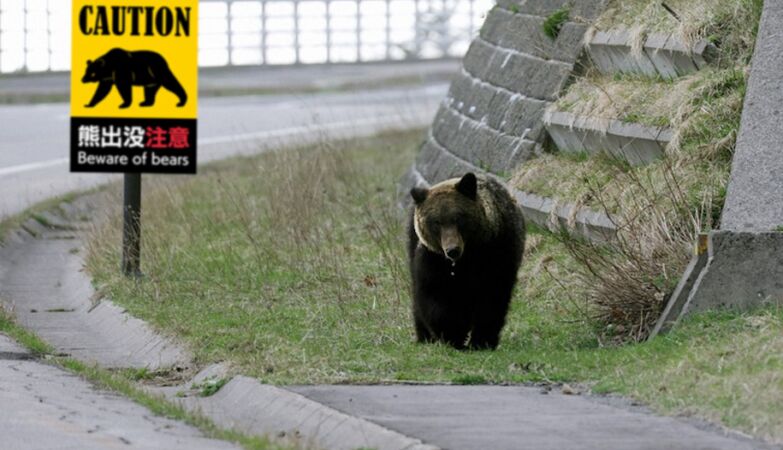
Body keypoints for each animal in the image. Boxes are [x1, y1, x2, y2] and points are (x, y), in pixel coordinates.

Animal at [408, 172, 525, 350]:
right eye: (436, 222)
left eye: (458, 217)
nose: (452, 250)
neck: (466, 258)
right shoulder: (433, 260)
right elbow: (434, 295)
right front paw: (452, 336)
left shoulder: (497, 253)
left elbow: (492, 298)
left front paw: (482, 341)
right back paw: (424, 337)